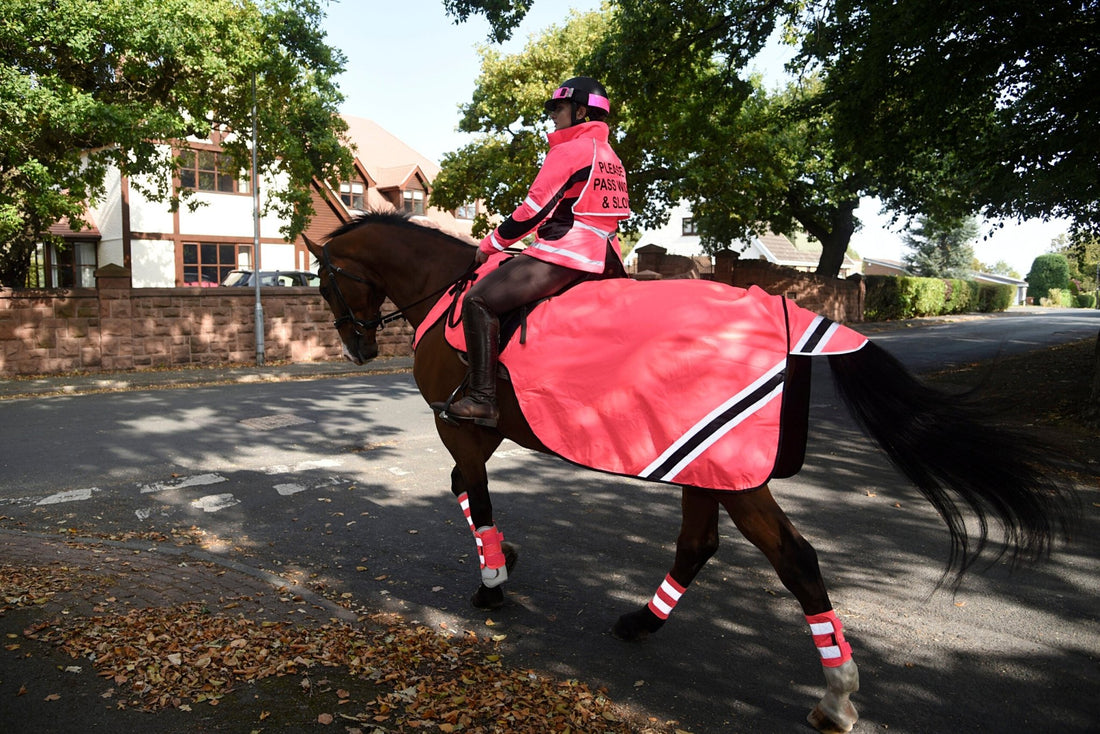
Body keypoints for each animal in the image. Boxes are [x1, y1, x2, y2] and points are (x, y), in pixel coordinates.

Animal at [305, 211, 1078, 734]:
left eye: (325, 281)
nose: (355, 347)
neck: (446, 290)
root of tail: (786, 311)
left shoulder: (460, 426)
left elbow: (475, 494)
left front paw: (493, 579)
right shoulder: (482, 432)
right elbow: (468, 491)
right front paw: (507, 559)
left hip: (734, 476)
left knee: (795, 560)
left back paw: (836, 696)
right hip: (705, 470)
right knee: (700, 545)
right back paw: (642, 622)